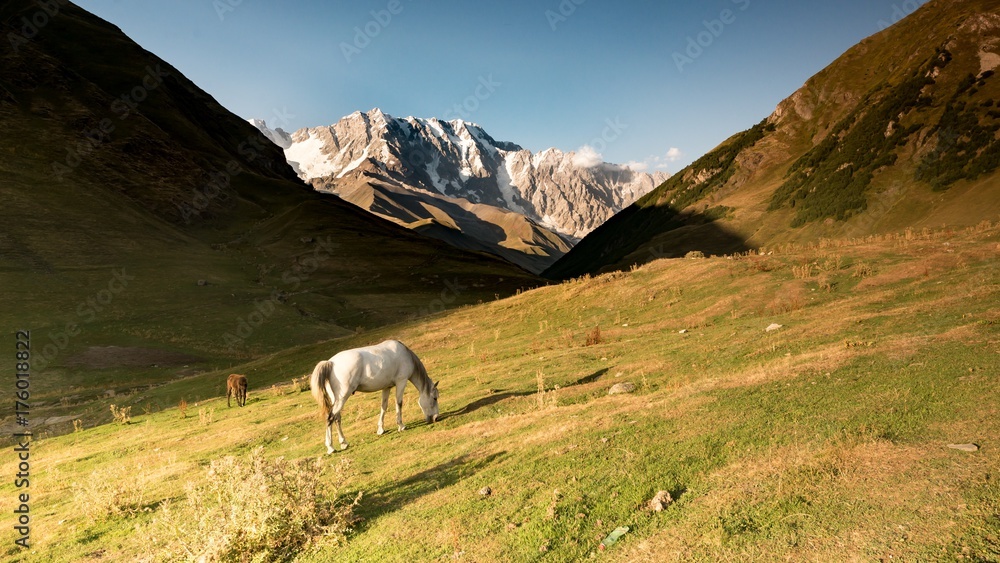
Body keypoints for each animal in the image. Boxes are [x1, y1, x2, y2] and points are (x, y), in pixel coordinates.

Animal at [309, 339, 439, 454]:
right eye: (435, 398)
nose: (436, 418)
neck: (405, 354)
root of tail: (330, 363)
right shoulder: (401, 382)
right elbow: (399, 403)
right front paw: (401, 425)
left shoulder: (387, 387)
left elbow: (384, 407)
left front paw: (381, 429)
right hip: (342, 397)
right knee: (330, 417)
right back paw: (330, 447)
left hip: (336, 399)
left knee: (337, 418)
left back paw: (343, 442)